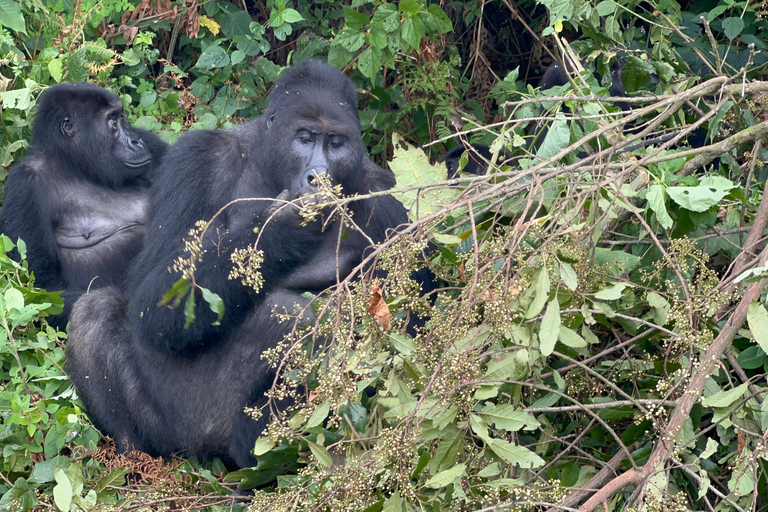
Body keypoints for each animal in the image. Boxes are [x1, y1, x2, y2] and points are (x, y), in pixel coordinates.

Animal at [0, 82, 167, 326]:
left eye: (122, 117)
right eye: (112, 122)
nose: (136, 140)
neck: (75, 165)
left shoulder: (154, 146)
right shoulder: (24, 185)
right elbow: (42, 290)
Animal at [65, 60, 424, 468]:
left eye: (335, 144)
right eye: (304, 138)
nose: (317, 176)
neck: (268, 164)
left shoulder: (389, 203)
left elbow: (405, 333)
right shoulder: (196, 158)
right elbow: (156, 295)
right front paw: (283, 227)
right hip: (171, 435)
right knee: (97, 310)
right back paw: (133, 456)